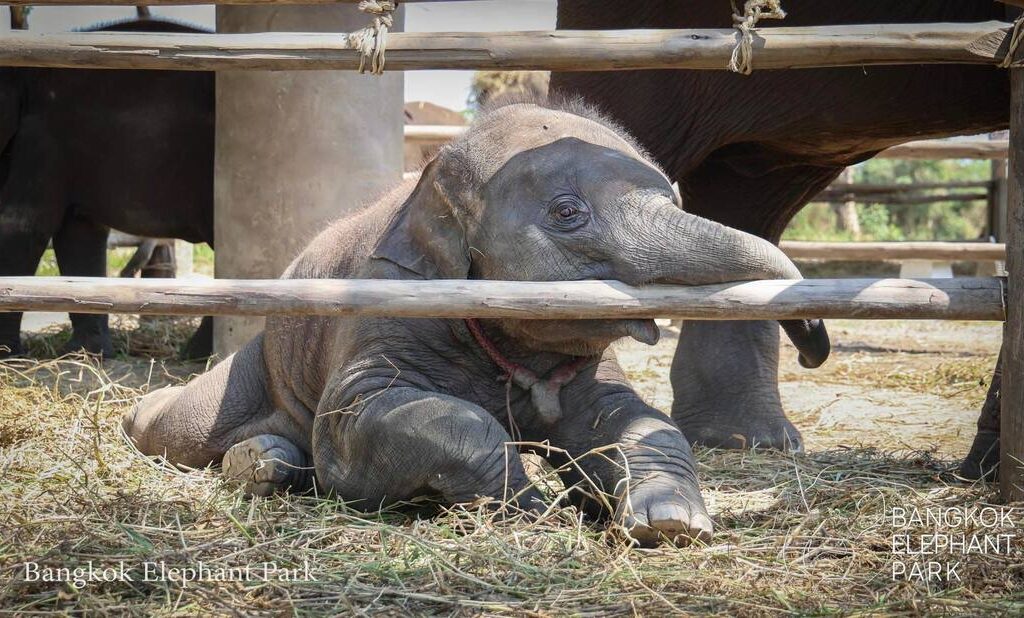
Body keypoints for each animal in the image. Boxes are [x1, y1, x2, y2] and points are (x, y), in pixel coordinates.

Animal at [0, 18, 213, 359]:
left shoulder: (41, 139)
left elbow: (21, 226)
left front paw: (7, 354)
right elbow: (79, 233)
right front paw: (86, 354)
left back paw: (198, 354)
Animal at [122, 101, 830, 546]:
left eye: (677, 199)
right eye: (567, 212)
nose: (814, 349)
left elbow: (633, 421)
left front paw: (668, 521)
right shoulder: (384, 309)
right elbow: (358, 426)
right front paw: (538, 510)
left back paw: (267, 463)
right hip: (259, 359)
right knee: (178, 426)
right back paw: (157, 424)